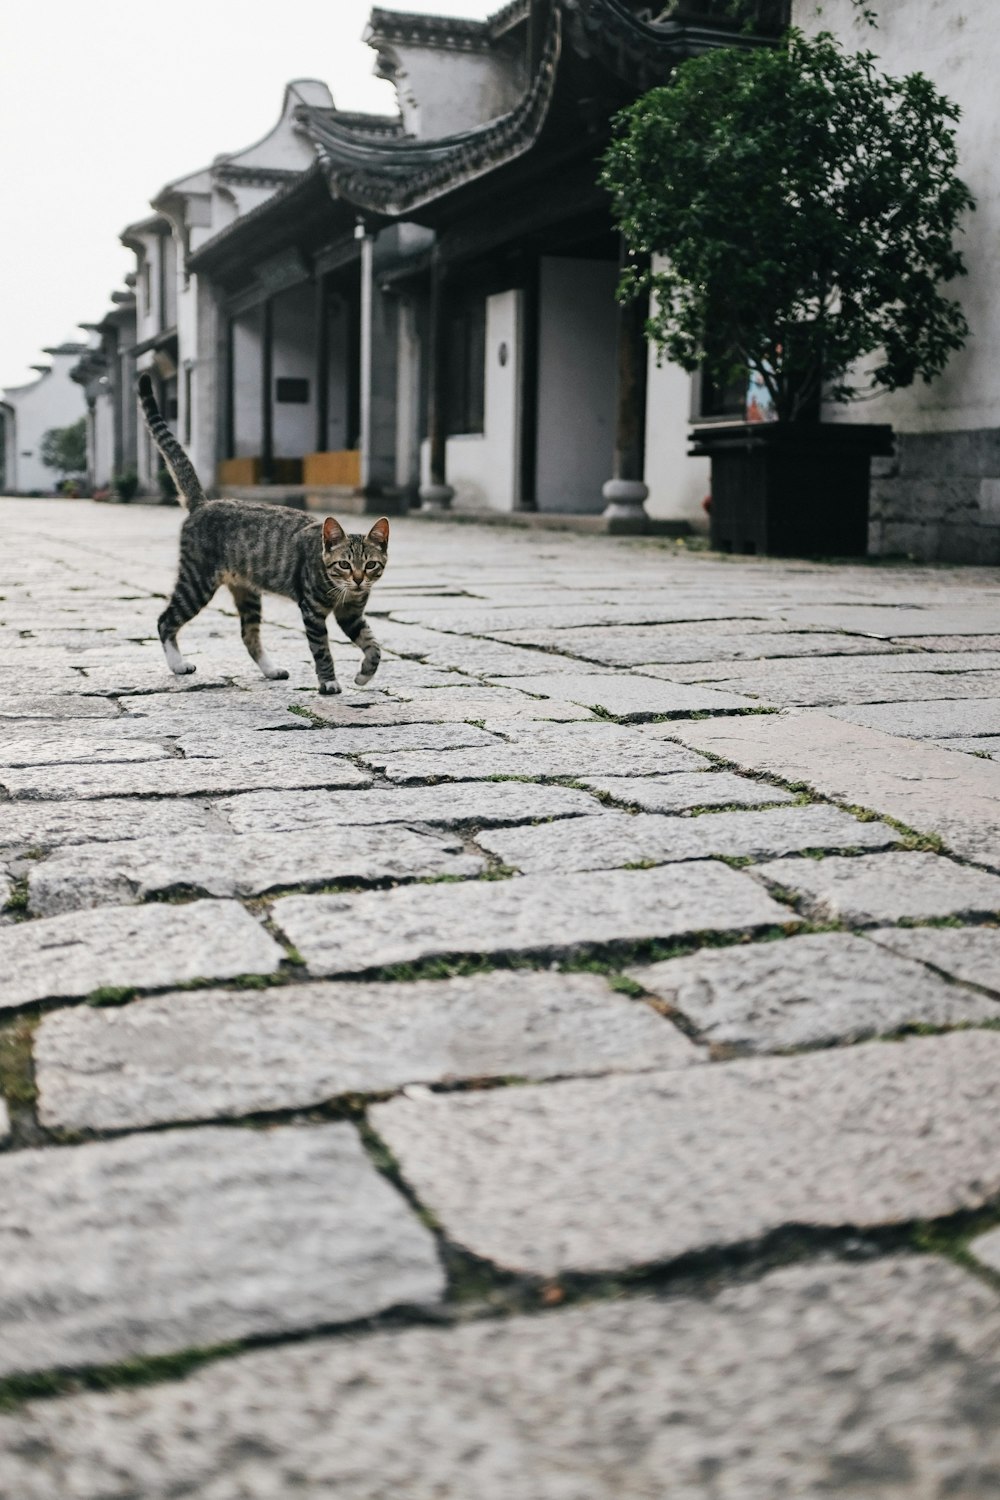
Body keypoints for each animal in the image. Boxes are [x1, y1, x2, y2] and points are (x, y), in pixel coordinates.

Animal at [138, 381, 389, 696]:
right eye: (344, 564)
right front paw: (329, 681)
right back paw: (178, 664)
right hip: (197, 581)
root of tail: (203, 504)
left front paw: (365, 674)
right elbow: (322, 649)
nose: (357, 579)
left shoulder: (351, 614)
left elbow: (373, 645)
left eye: (370, 565)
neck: (343, 591)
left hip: (247, 592)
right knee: (165, 621)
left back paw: (271, 669)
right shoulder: (312, 610)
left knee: (249, 635)